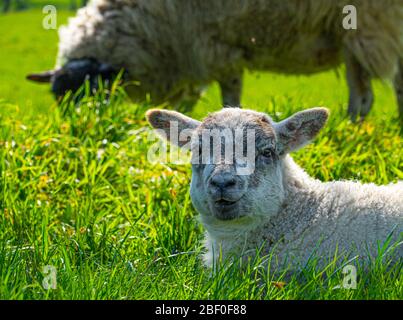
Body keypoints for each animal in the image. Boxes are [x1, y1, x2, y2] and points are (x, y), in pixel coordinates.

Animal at [27, 0, 403, 122]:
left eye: (94, 94)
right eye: (59, 99)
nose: (79, 130)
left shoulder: (214, 44)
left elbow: (230, 95)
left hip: (369, 21)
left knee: (371, 95)